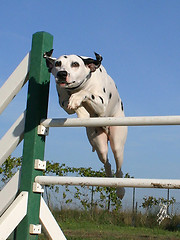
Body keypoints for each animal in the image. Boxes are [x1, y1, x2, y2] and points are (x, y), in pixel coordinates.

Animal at [43, 49, 128, 199]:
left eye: (75, 64)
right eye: (58, 63)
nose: (62, 74)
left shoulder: (101, 103)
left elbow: (86, 93)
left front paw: (78, 97)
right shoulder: (63, 101)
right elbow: (71, 104)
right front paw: (78, 108)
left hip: (117, 142)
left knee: (119, 168)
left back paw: (120, 190)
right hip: (99, 145)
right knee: (106, 161)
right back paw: (108, 175)